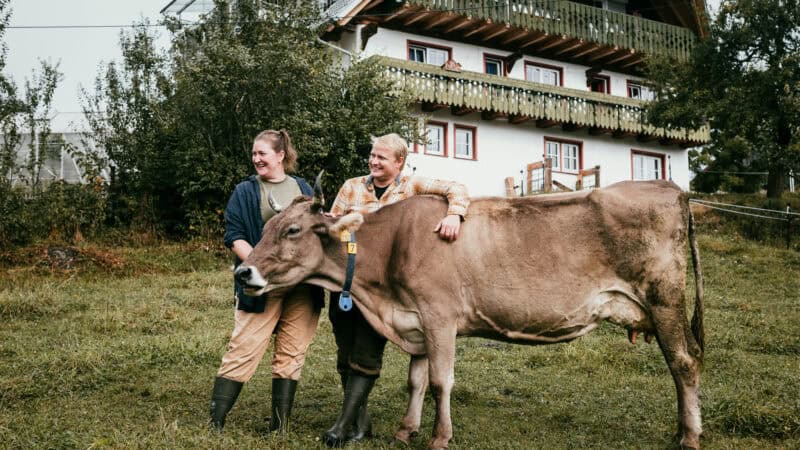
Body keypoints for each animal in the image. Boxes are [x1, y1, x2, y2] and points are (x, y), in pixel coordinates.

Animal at [234, 180, 704, 450]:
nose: (243, 272)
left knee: (684, 363)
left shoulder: (439, 316)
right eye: (266, 228)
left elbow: (441, 381)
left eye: (292, 230)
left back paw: (689, 436)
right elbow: (416, 380)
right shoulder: (416, 322)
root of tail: (671, 189)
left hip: (664, 300)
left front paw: (439, 437)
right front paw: (405, 430)